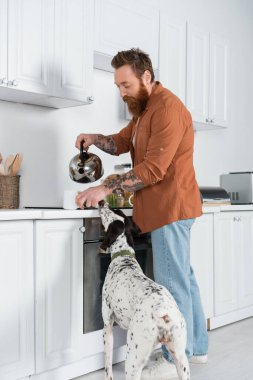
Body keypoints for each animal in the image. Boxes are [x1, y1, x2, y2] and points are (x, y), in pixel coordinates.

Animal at [99, 200, 190, 378]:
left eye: (111, 210)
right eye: (118, 210)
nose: (101, 202)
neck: (124, 257)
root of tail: (163, 313)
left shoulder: (107, 326)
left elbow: (107, 366)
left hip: (133, 360)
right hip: (182, 359)